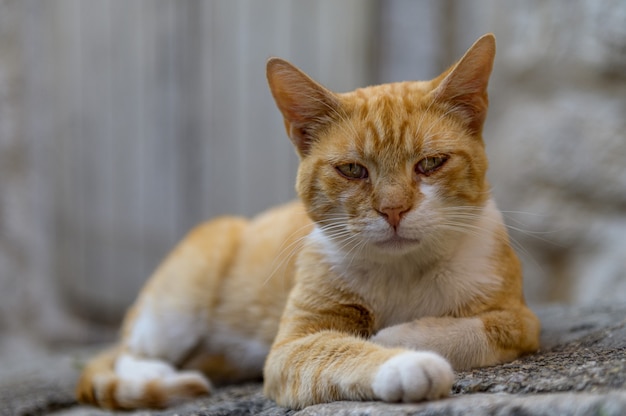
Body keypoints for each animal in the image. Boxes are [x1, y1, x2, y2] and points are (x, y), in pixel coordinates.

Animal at [77, 32, 536, 410]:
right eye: (352, 170)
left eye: (431, 163)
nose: (393, 210)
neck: (402, 272)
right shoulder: (290, 347)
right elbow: (336, 350)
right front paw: (404, 363)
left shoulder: (520, 320)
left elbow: (471, 329)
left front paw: (396, 337)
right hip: (177, 306)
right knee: (130, 352)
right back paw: (157, 372)